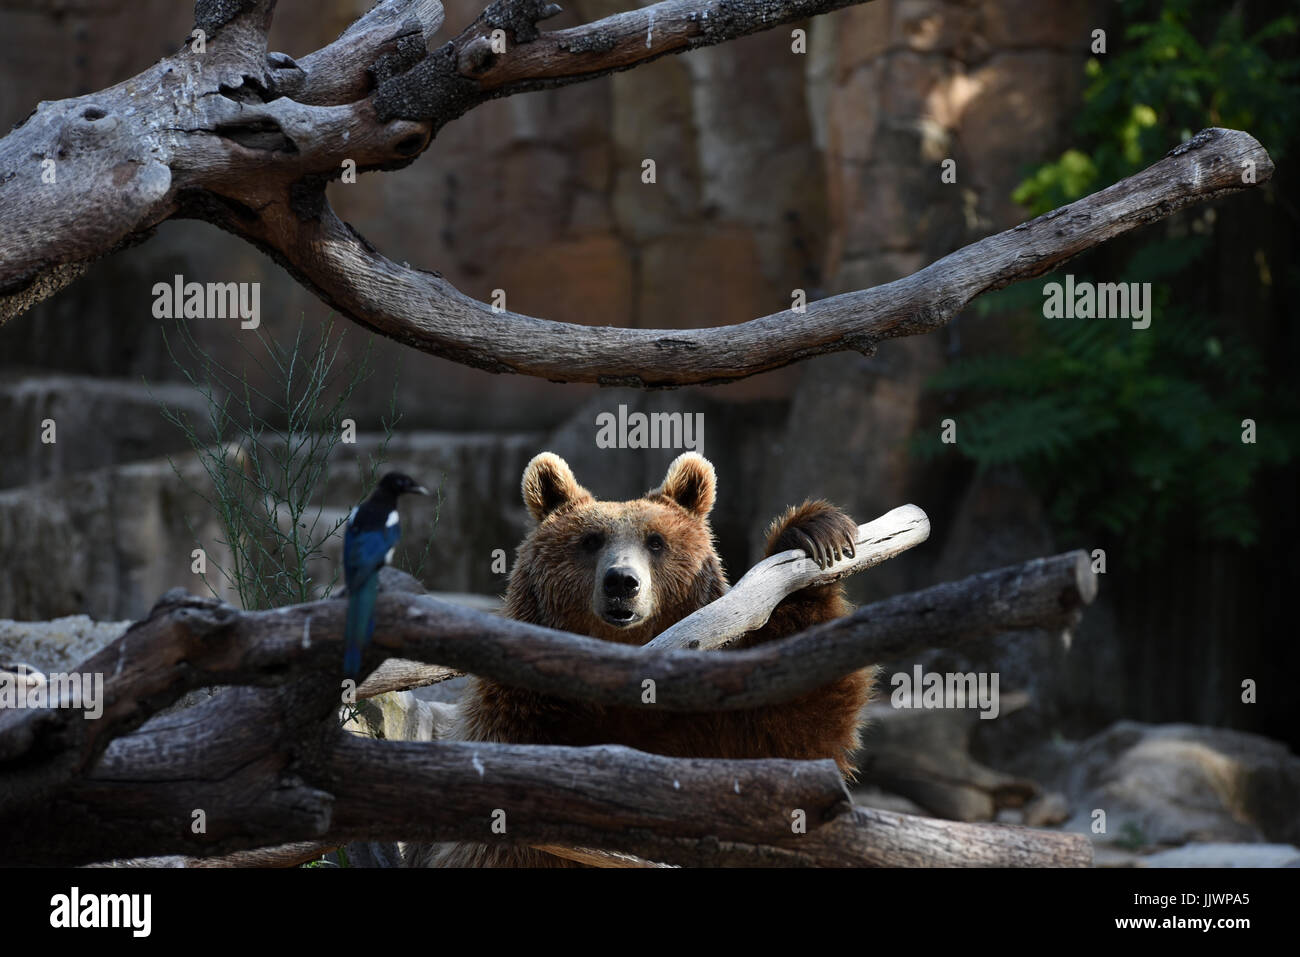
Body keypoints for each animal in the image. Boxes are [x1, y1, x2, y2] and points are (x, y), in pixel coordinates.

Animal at [421, 449, 873, 868]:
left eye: (656, 541)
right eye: (590, 540)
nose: (622, 582)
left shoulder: (715, 726)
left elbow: (794, 730)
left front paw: (814, 534)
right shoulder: (518, 713)